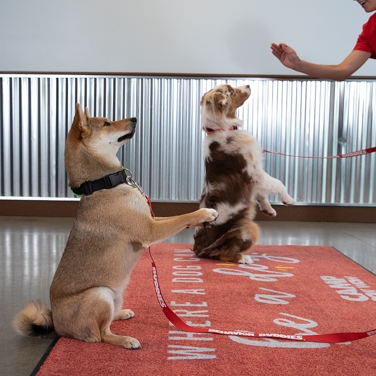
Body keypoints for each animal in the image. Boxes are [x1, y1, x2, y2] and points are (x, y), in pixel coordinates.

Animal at [13, 103, 217, 350]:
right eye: (107, 123)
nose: (135, 118)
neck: (102, 185)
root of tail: (58, 325)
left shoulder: (149, 219)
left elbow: (175, 216)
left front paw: (203, 220)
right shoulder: (149, 230)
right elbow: (180, 217)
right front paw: (205, 213)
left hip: (115, 295)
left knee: (107, 321)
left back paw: (121, 314)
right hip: (99, 294)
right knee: (101, 334)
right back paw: (125, 340)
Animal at [194, 83, 294, 262]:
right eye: (232, 92)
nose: (248, 85)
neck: (223, 128)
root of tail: (198, 250)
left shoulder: (253, 176)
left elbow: (261, 193)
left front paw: (269, 209)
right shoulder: (253, 172)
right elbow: (277, 183)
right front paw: (288, 199)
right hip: (249, 227)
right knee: (221, 254)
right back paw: (243, 258)